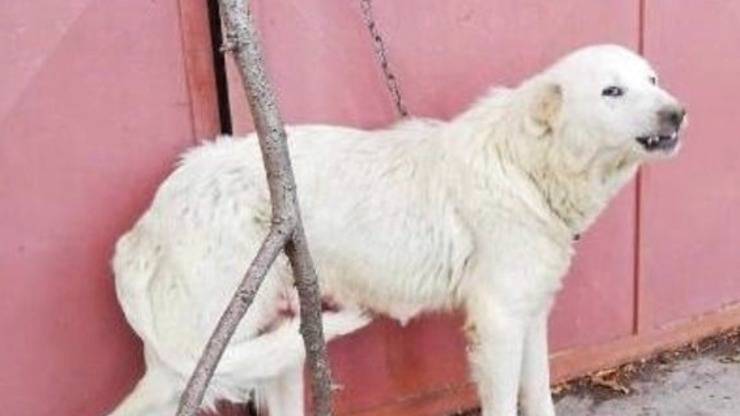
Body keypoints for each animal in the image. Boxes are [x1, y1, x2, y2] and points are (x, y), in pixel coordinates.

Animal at [110, 44, 688, 414]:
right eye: (612, 91)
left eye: (652, 80)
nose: (678, 114)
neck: (524, 165)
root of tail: (157, 207)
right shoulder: (499, 321)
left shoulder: (531, 314)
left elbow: (540, 396)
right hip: (198, 355)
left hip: (276, 348)